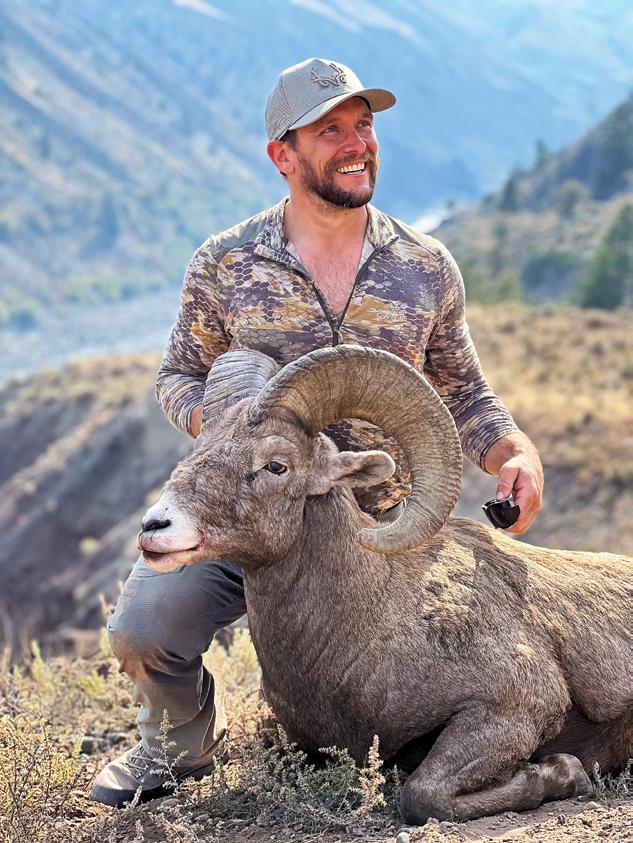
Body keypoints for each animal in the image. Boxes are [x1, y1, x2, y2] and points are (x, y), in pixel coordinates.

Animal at [138, 345, 633, 823]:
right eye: (199, 445)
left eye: (276, 465)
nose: (154, 527)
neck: (366, 626)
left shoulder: (516, 705)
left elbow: (422, 795)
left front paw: (566, 772)